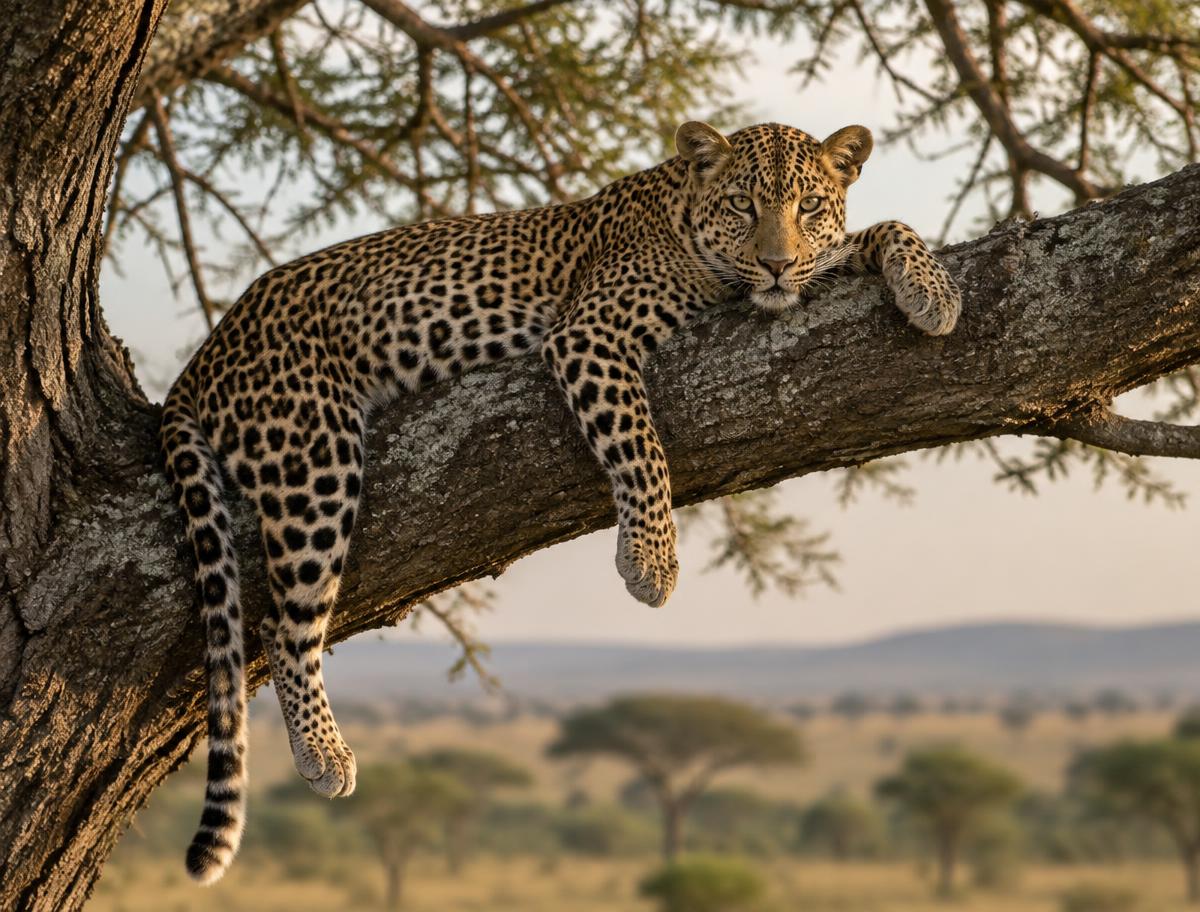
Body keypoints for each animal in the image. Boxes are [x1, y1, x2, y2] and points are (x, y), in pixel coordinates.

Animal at [160, 120, 961, 884]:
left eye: (809, 207)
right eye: (743, 205)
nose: (775, 263)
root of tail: (204, 353)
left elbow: (881, 228)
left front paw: (934, 293)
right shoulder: (590, 333)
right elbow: (640, 443)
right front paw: (652, 561)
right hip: (312, 455)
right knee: (284, 622)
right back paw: (324, 752)